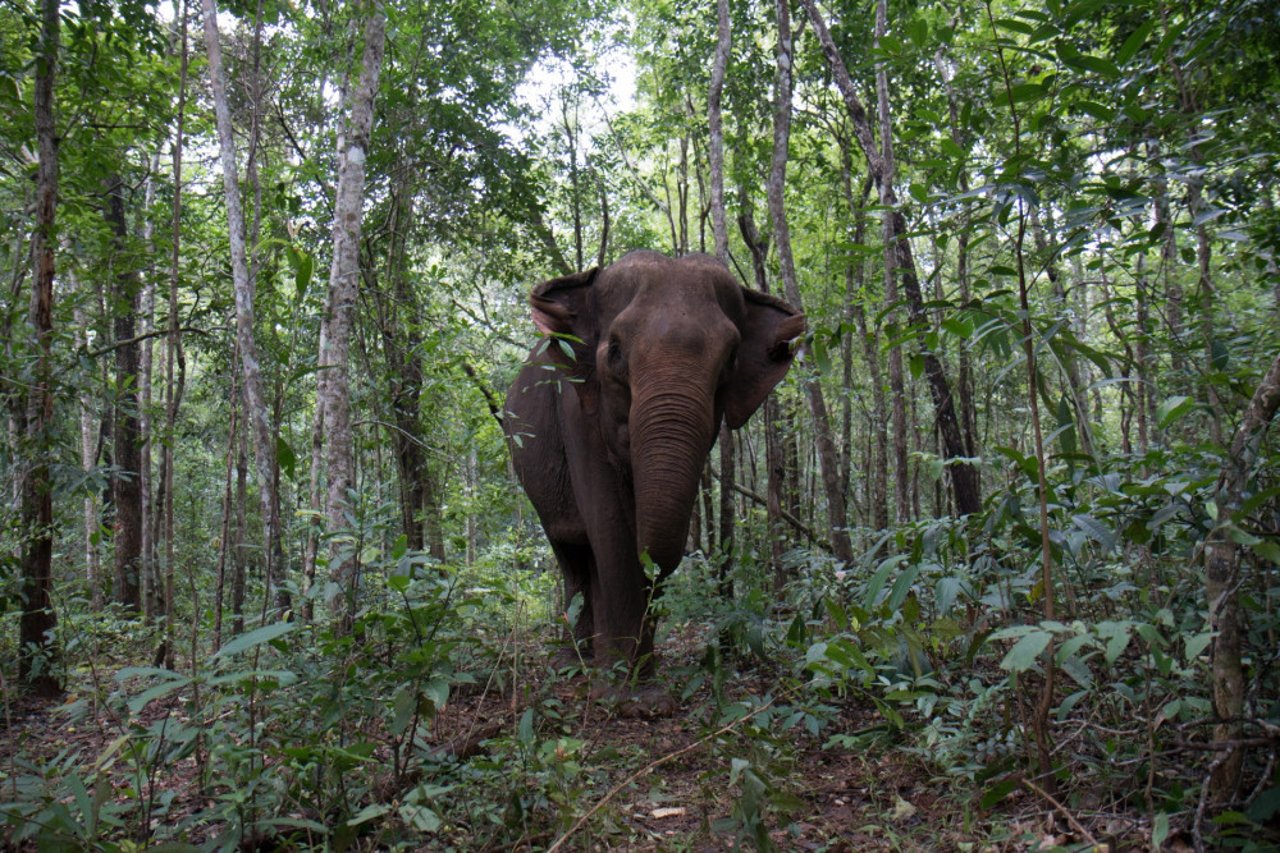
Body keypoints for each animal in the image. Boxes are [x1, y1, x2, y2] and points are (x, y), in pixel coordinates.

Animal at [504, 247, 803, 712]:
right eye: (615, 351)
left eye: (731, 359)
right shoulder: (576, 411)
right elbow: (610, 530)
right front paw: (623, 697)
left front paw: (642, 689)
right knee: (571, 552)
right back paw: (572, 661)